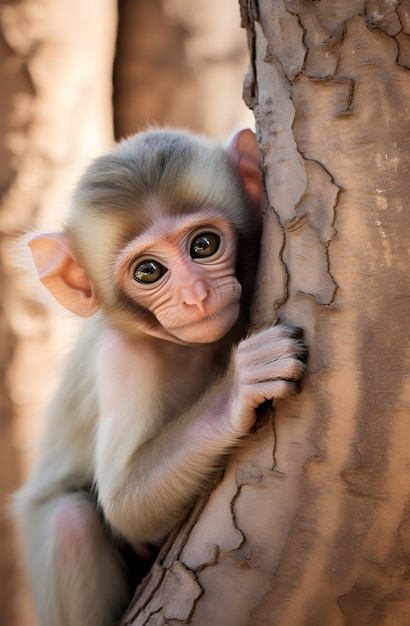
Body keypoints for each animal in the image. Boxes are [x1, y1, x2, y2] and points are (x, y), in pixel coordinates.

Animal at [15, 128, 304, 624]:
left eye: (204, 245)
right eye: (148, 271)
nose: (194, 295)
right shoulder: (122, 360)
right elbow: (125, 505)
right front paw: (238, 388)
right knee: (70, 524)